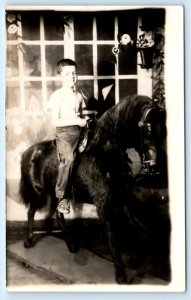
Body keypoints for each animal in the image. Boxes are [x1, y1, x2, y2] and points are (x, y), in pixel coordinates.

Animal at [20, 95, 168, 284]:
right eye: (147, 130)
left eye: (161, 131)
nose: (153, 167)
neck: (104, 154)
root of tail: (28, 152)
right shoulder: (103, 205)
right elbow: (113, 238)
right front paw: (120, 276)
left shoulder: (124, 199)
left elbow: (142, 229)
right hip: (37, 192)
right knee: (31, 212)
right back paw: (29, 241)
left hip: (56, 194)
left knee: (58, 214)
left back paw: (71, 245)